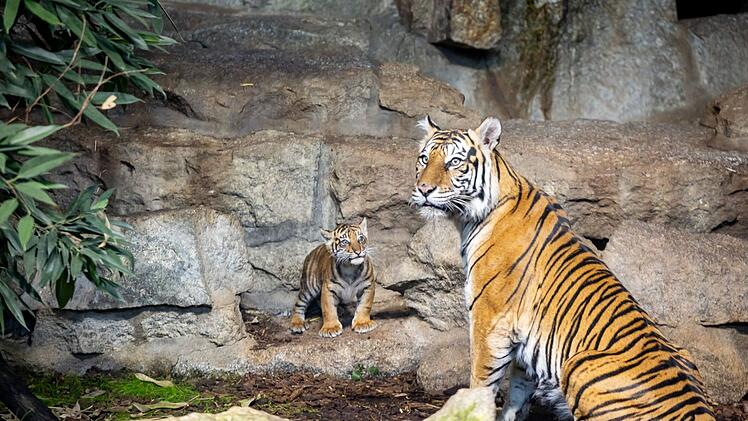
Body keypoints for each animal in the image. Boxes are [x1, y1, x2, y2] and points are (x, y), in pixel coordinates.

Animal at [411, 116, 714, 420]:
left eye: (454, 162)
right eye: (424, 158)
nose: (424, 189)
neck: (470, 218)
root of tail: (697, 408)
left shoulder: (490, 318)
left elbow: (481, 379)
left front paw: (470, 408)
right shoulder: (524, 343)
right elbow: (518, 390)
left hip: (578, 365)